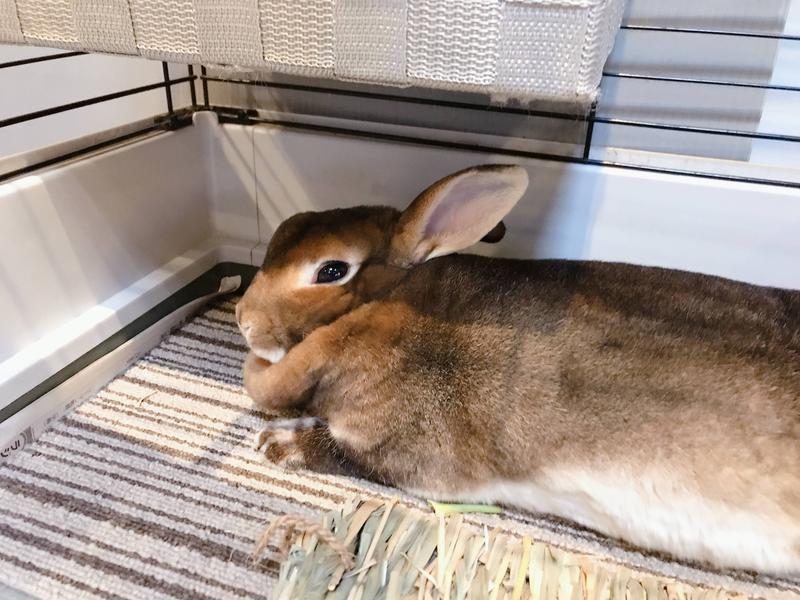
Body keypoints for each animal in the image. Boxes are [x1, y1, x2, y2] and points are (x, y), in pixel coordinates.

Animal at [234, 163, 800, 572]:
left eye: (332, 270)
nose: (242, 318)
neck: (382, 305)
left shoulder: (407, 454)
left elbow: (340, 451)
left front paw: (275, 443)